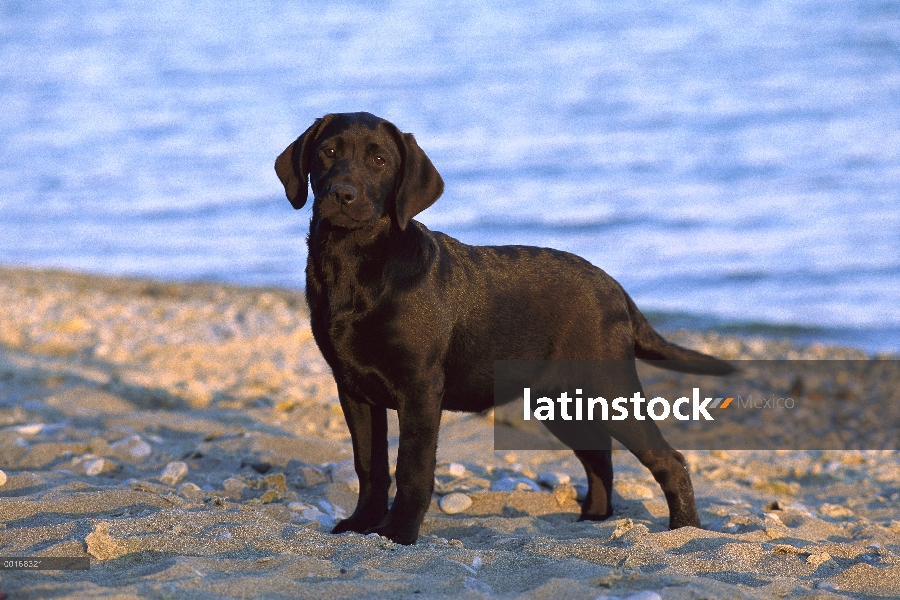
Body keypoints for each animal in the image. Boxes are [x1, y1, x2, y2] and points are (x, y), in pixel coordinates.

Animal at [274, 111, 732, 544]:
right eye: (328, 152)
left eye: (380, 161)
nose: (342, 194)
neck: (356, 264)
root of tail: (615, 288)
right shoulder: (352, 387)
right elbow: (369, 465)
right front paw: (362, 524)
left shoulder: (419, 388)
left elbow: (411, 469)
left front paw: (398, 532)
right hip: (563, 401)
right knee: (600, 456)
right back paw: (593, 518)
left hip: (607, 387)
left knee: (669, 460)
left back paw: (685, 528)